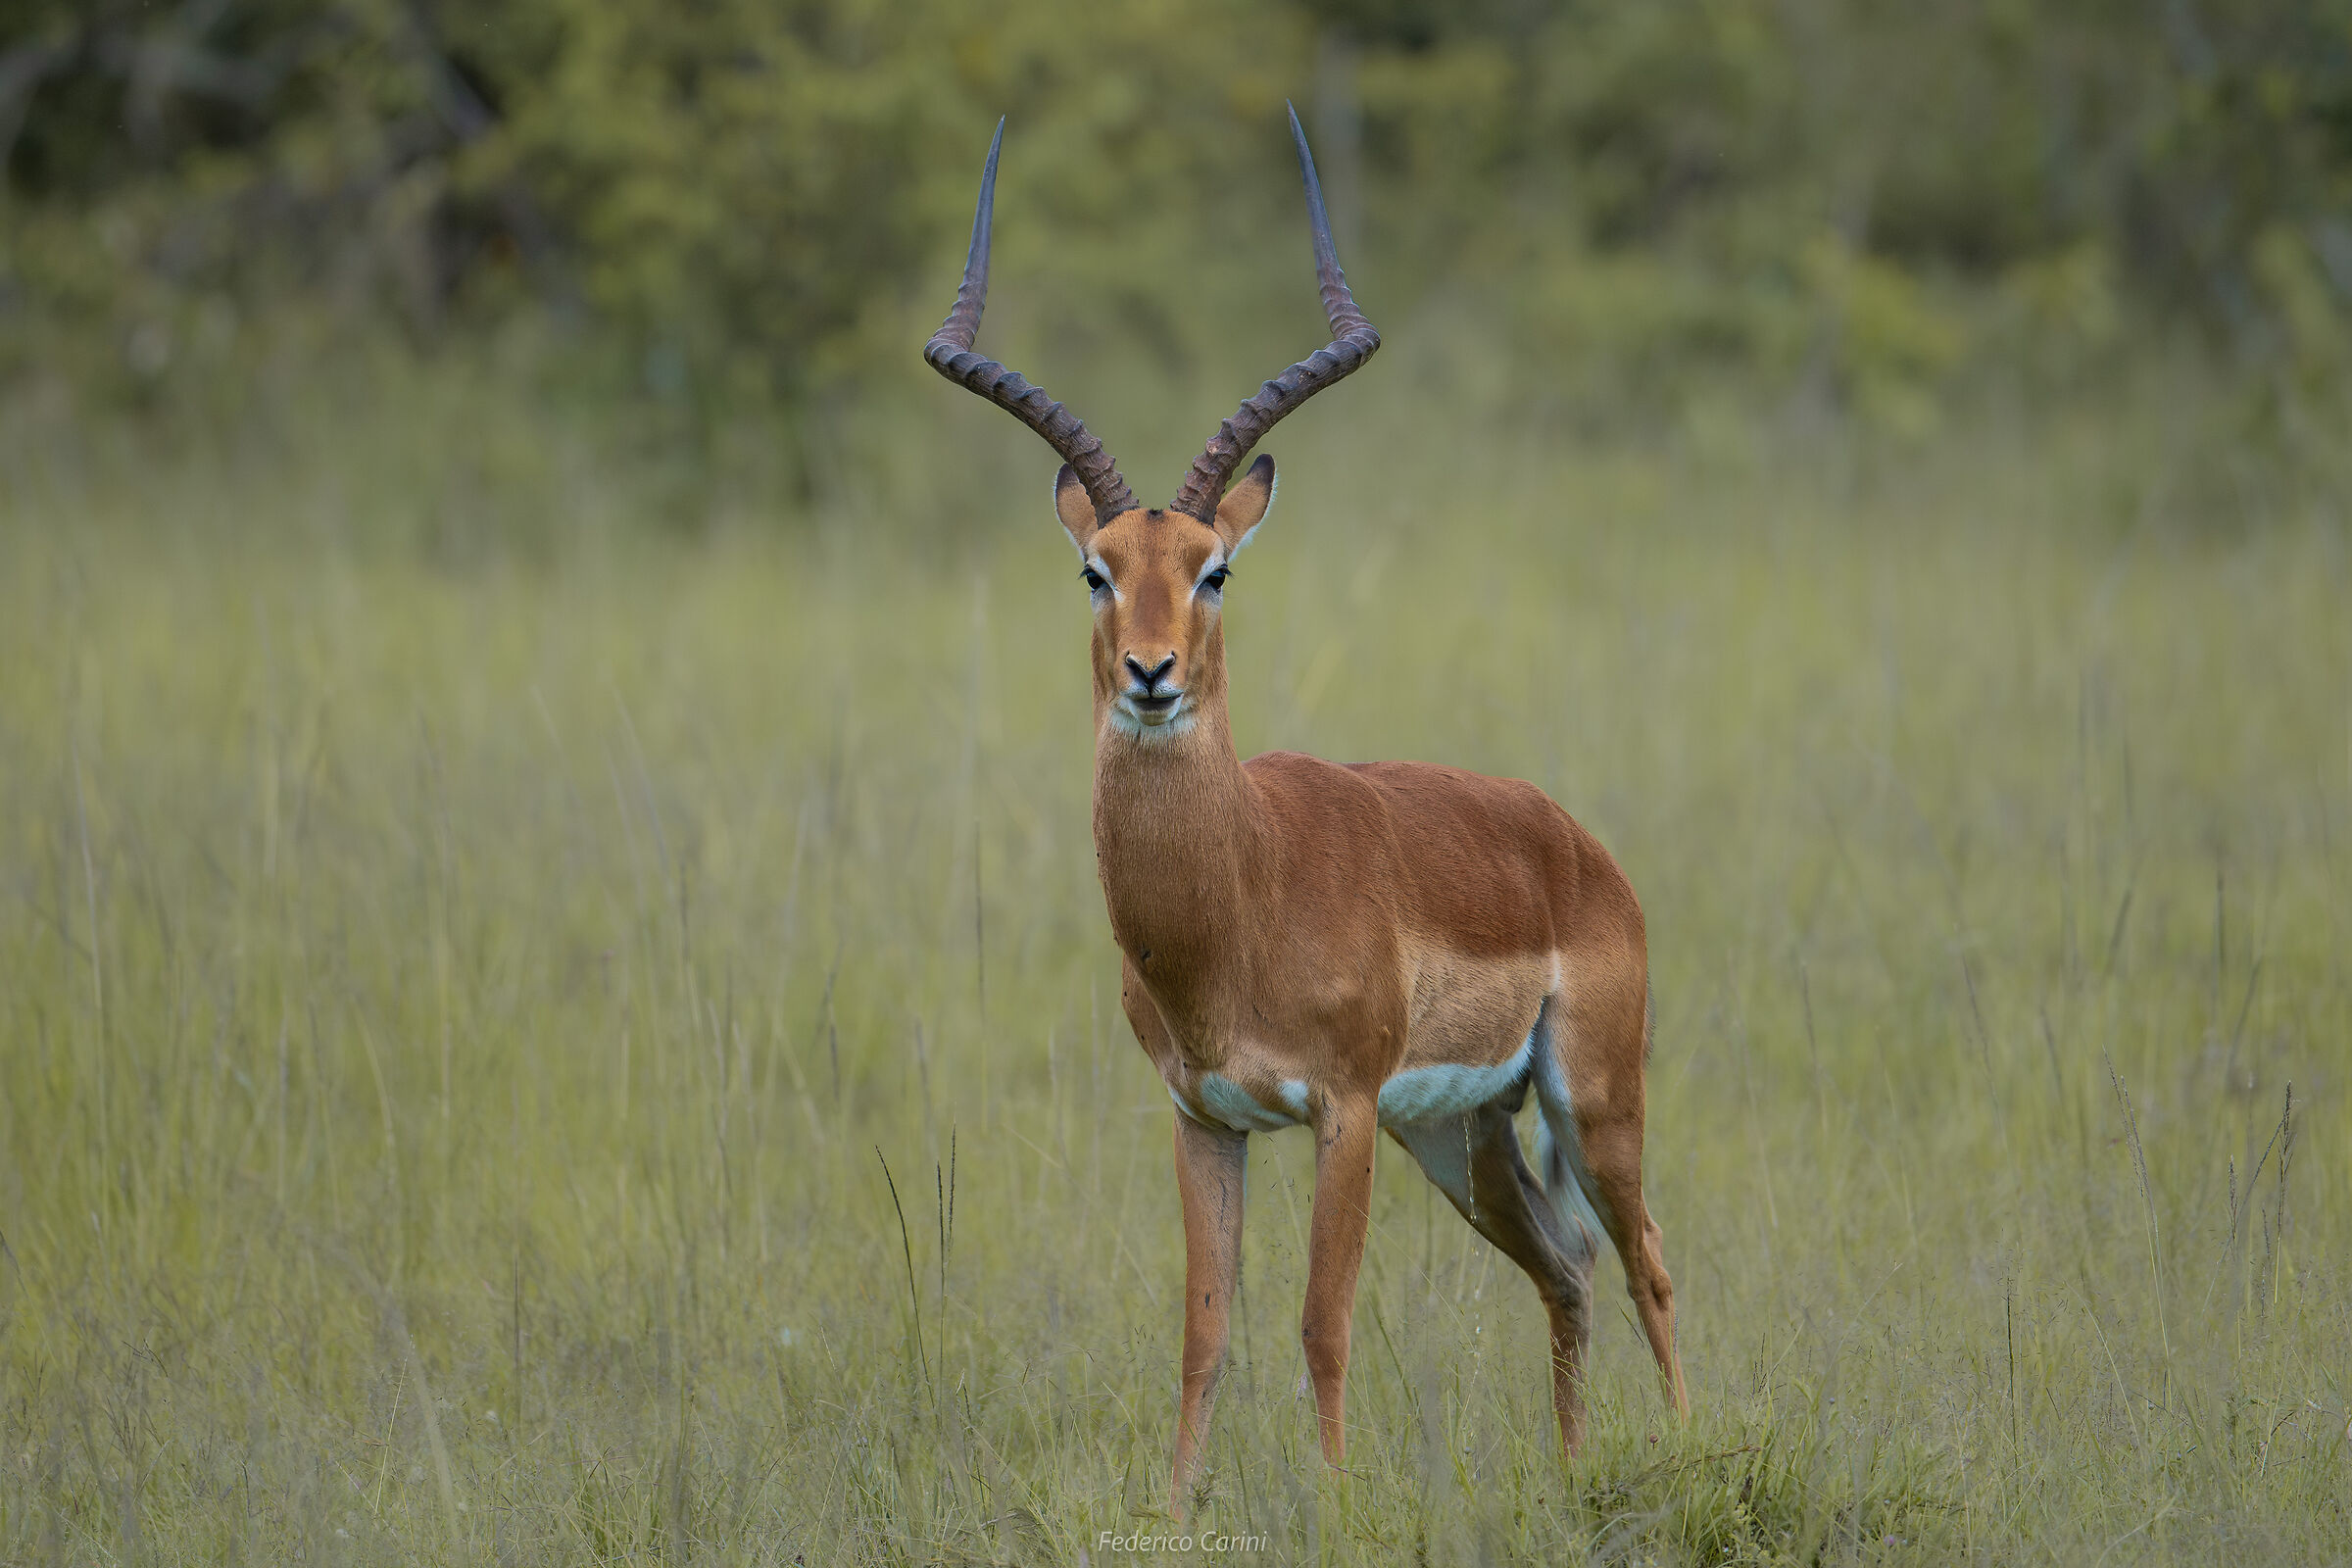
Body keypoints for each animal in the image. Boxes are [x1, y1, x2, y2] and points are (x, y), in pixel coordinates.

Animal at [925, 108, 1689, 1512]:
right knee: (1568, 1264)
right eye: (1095, 569)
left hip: (1589, 1095)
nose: (1152, 672)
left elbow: (1320, 1324)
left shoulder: (1340, 1112)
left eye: (1214, 570)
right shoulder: (1202, 1117)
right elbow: (1206, 1329)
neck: (1243, 891)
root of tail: (1576, 845)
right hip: (1462, 1135)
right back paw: (1572, 1473)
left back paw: (1687, 1446)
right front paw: (1178, 1509)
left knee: (1647, 1257)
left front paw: (1334, 1503)